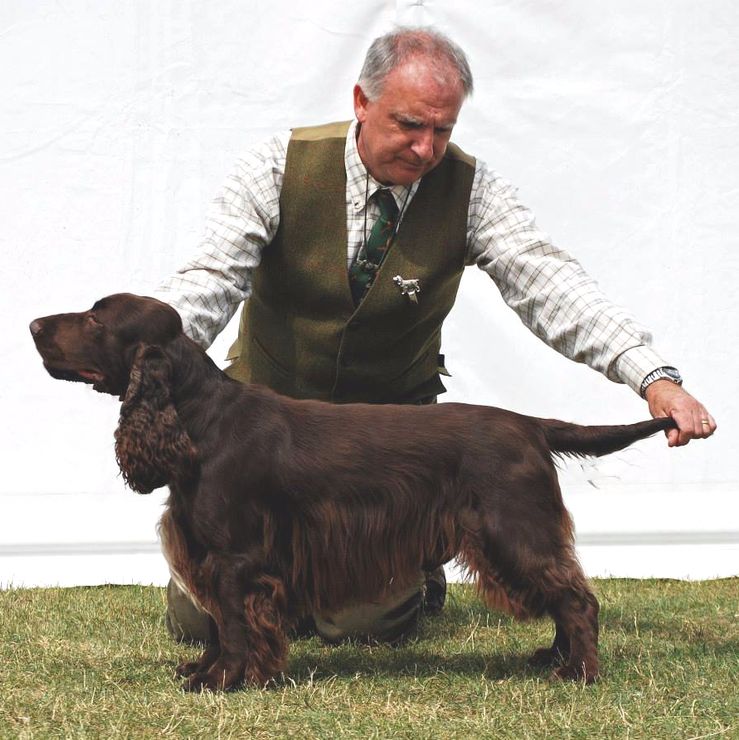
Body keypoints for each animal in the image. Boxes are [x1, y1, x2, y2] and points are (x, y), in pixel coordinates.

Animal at [30, 294, 676, 688]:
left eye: (96, 319)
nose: (34, 325)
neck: (197, 420)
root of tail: (530, 424)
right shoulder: (209, 553)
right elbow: (216, 621)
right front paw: (209, 671)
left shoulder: (236, 557)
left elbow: (234, 622)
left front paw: (223, 681)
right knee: (565, 597)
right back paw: (554, 658)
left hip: (513, 529)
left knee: (577, 599)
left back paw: (580, 672)